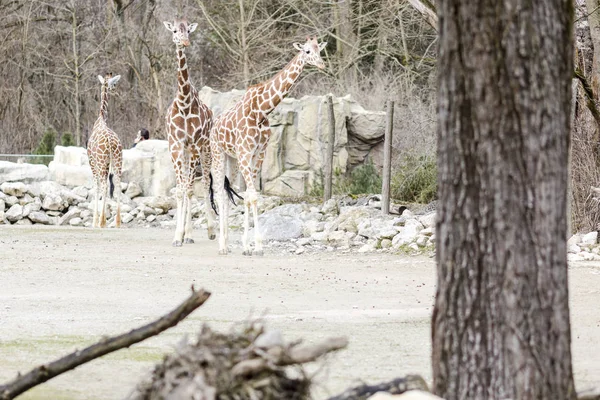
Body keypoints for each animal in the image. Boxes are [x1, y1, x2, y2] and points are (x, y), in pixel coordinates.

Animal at [212, 37, 328, 256]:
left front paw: (250, 246)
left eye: (320, 50)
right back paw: (221, 246)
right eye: (307, 51)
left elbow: (249, 196)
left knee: (226, 192)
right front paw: (254, 245)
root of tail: (214, 126)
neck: (261, 110)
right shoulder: (245, 153)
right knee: (219, 192)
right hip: (218, 154)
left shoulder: (258, 154)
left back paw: (227, 244)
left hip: (233, 159)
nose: (322, 64)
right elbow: (252, 196)